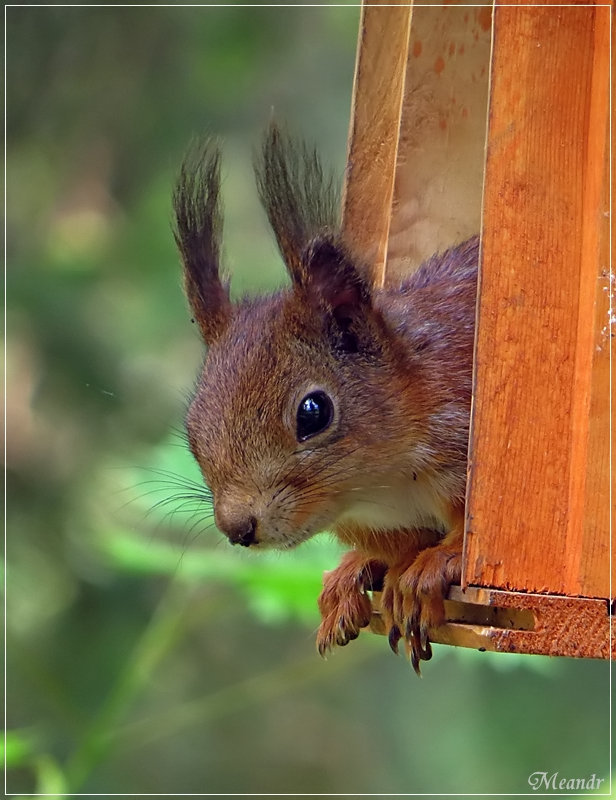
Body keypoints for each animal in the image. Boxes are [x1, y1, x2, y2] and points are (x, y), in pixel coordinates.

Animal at [173, 126, 476, 676]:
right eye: (192, 430)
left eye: (313, 412)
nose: (237, 528)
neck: (380, 487)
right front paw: (356, 574)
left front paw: (434, 564)